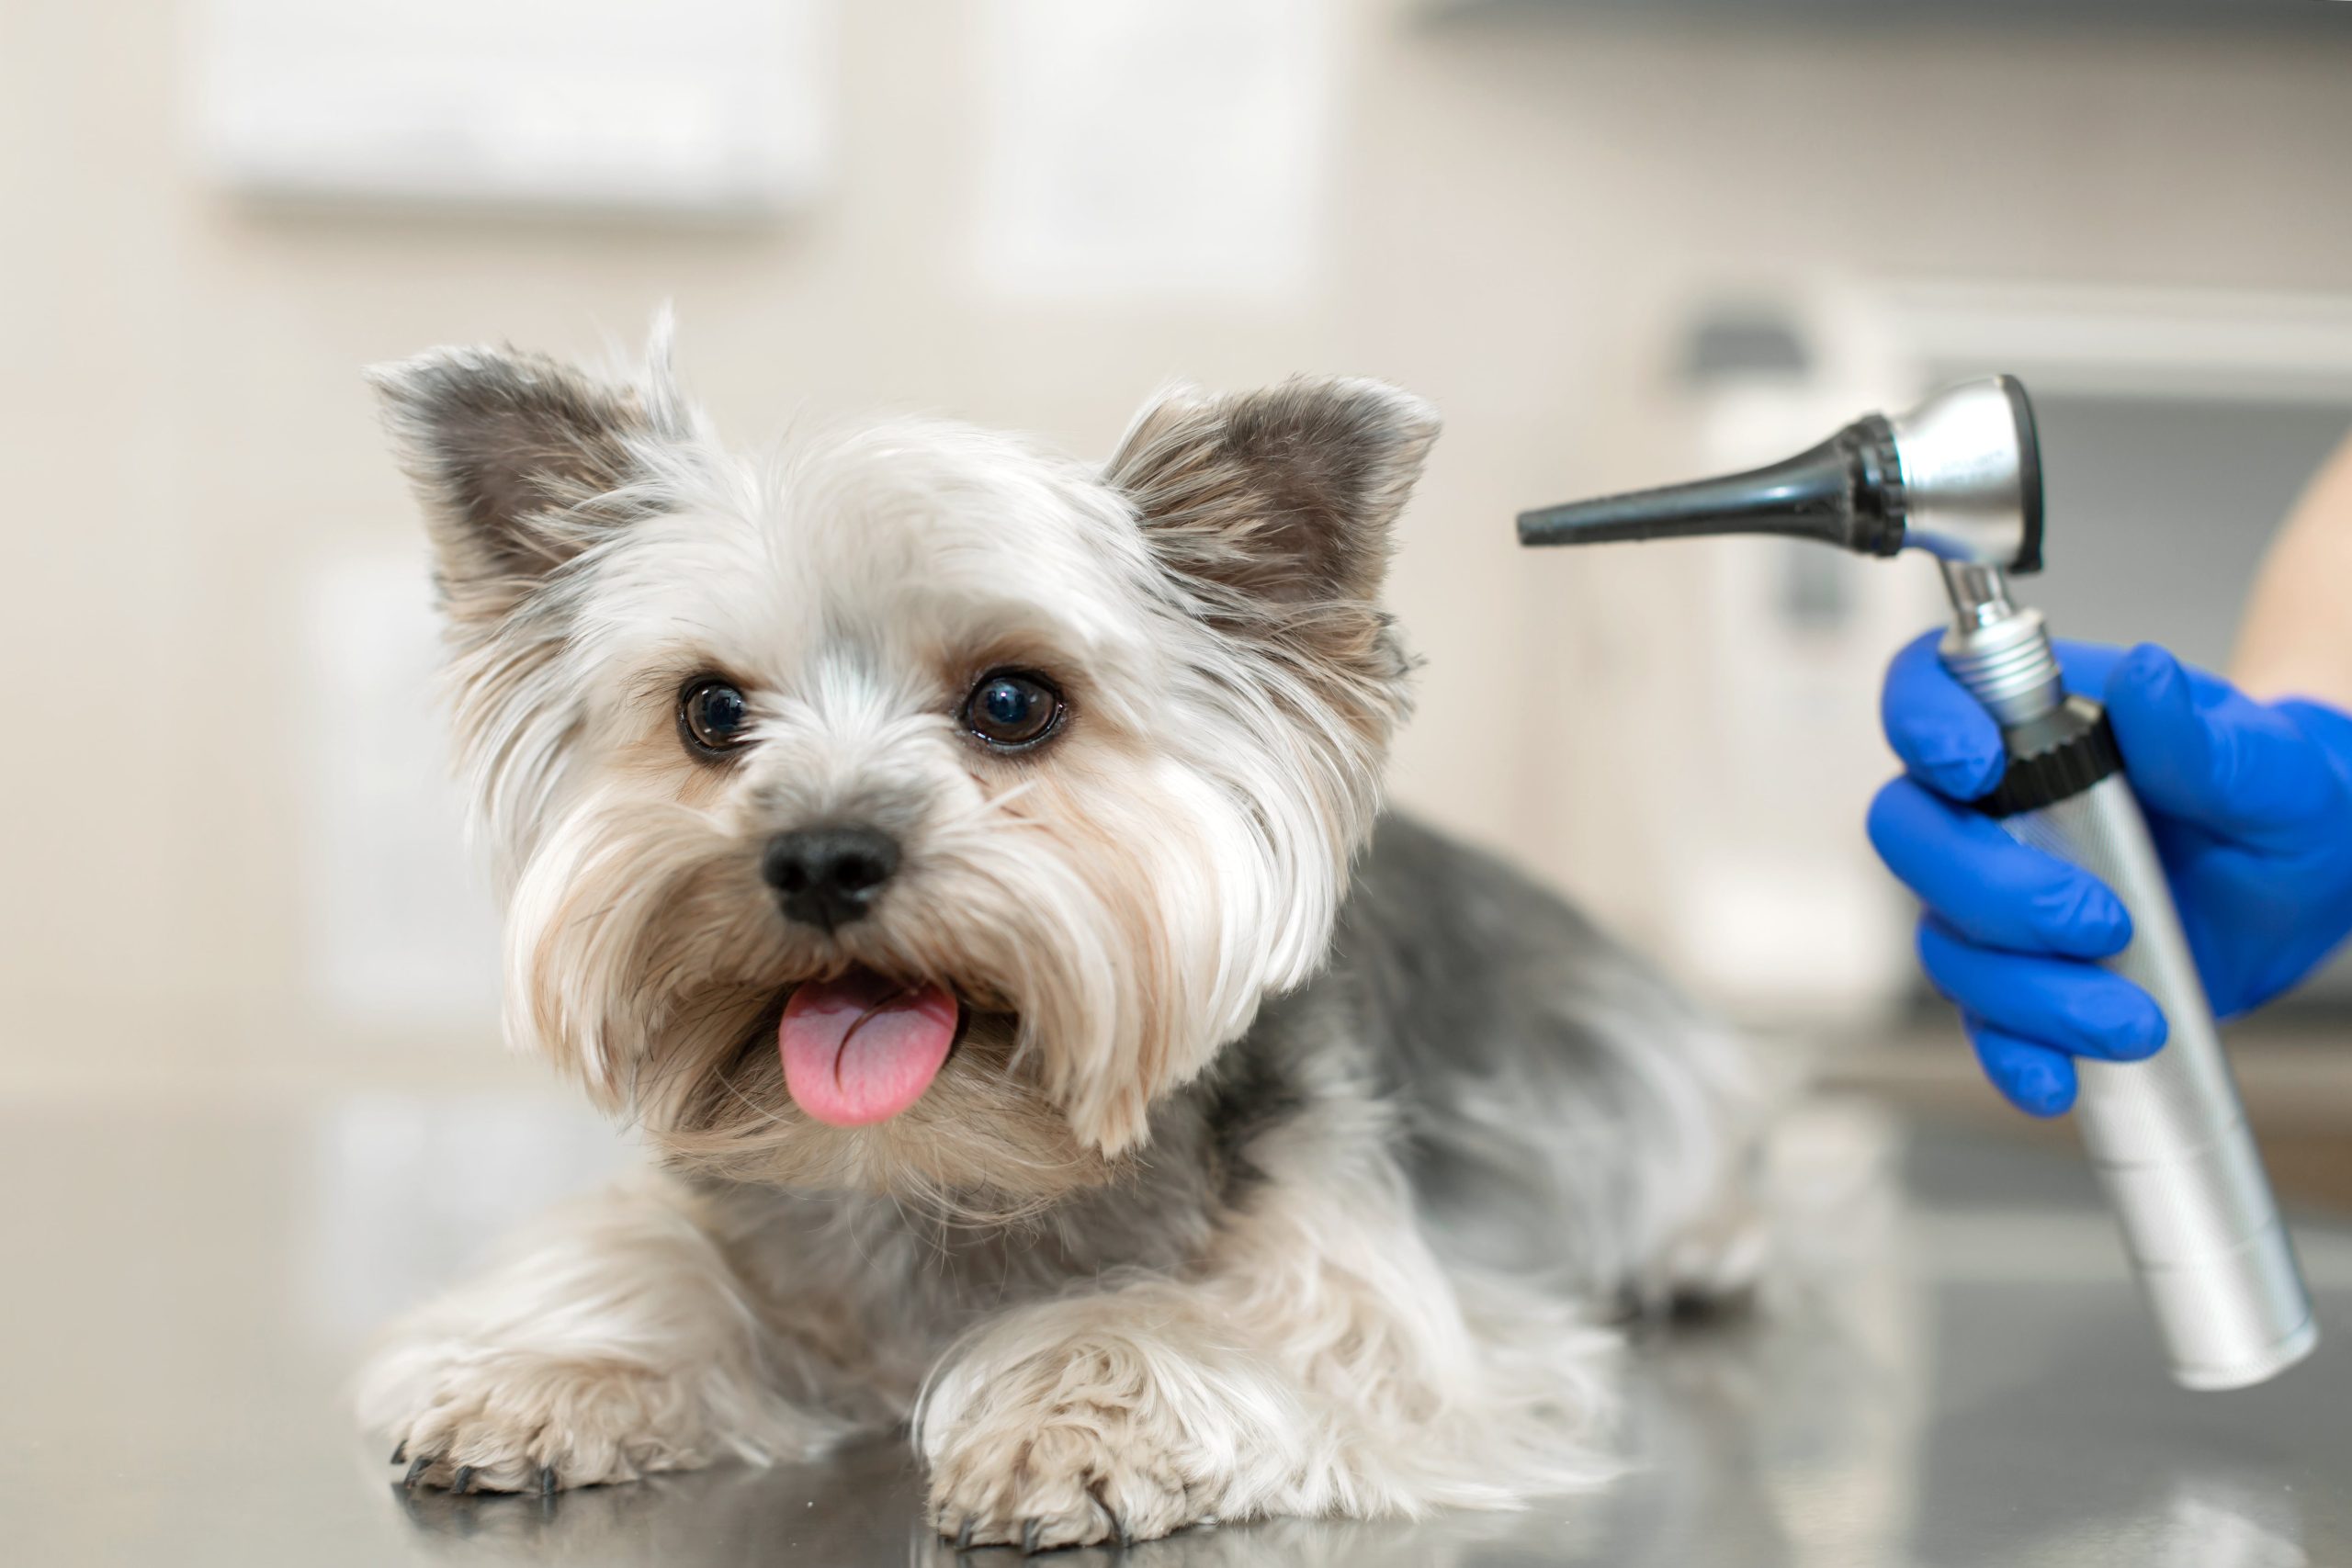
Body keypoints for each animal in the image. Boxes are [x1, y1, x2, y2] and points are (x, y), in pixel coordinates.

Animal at [357, 324, 1769, 1551]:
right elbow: (644, 1259)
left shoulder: (1396, 1311)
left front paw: (1080, 1421)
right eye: (710, 711)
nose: (820, 854)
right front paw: (553, 1370)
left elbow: (1245, 1333)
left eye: (1011, 703)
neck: (945, 1166)